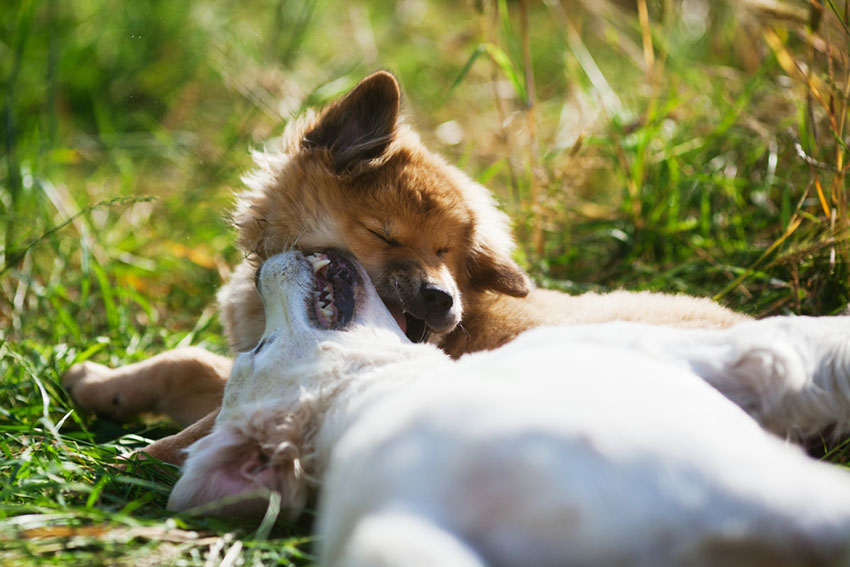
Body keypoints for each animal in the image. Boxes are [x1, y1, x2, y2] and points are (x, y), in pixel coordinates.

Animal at [63, 71, 744, 464]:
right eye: (384, 234)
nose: (443, 301)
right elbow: (189, 364)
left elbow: (214, 412)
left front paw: (141, 458)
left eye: (446, 253)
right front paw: (102, 384)